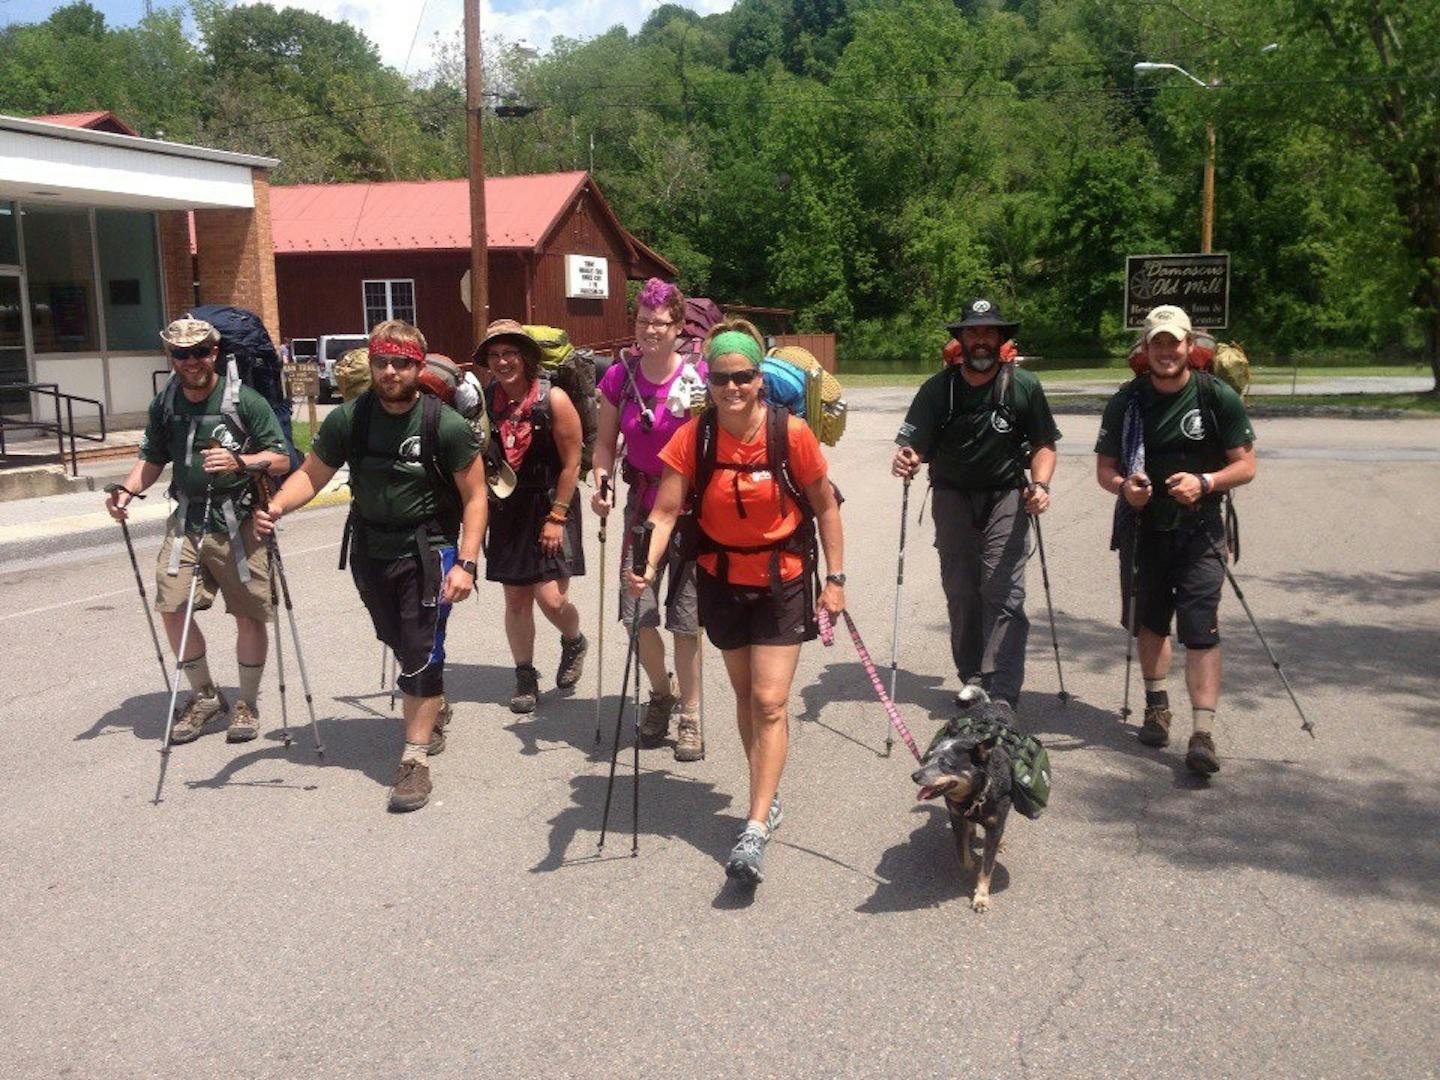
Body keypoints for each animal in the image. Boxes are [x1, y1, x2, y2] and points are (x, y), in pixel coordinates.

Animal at [910, 688, 1013, 910]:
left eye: (945, 763)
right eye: (929, 757)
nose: (915, 775)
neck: (976, 796)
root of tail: (988, 703)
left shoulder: (994, 827)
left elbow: (987, 867)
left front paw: (981, 897)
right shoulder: (956, 817)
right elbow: (962, 853)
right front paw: (970, 865)